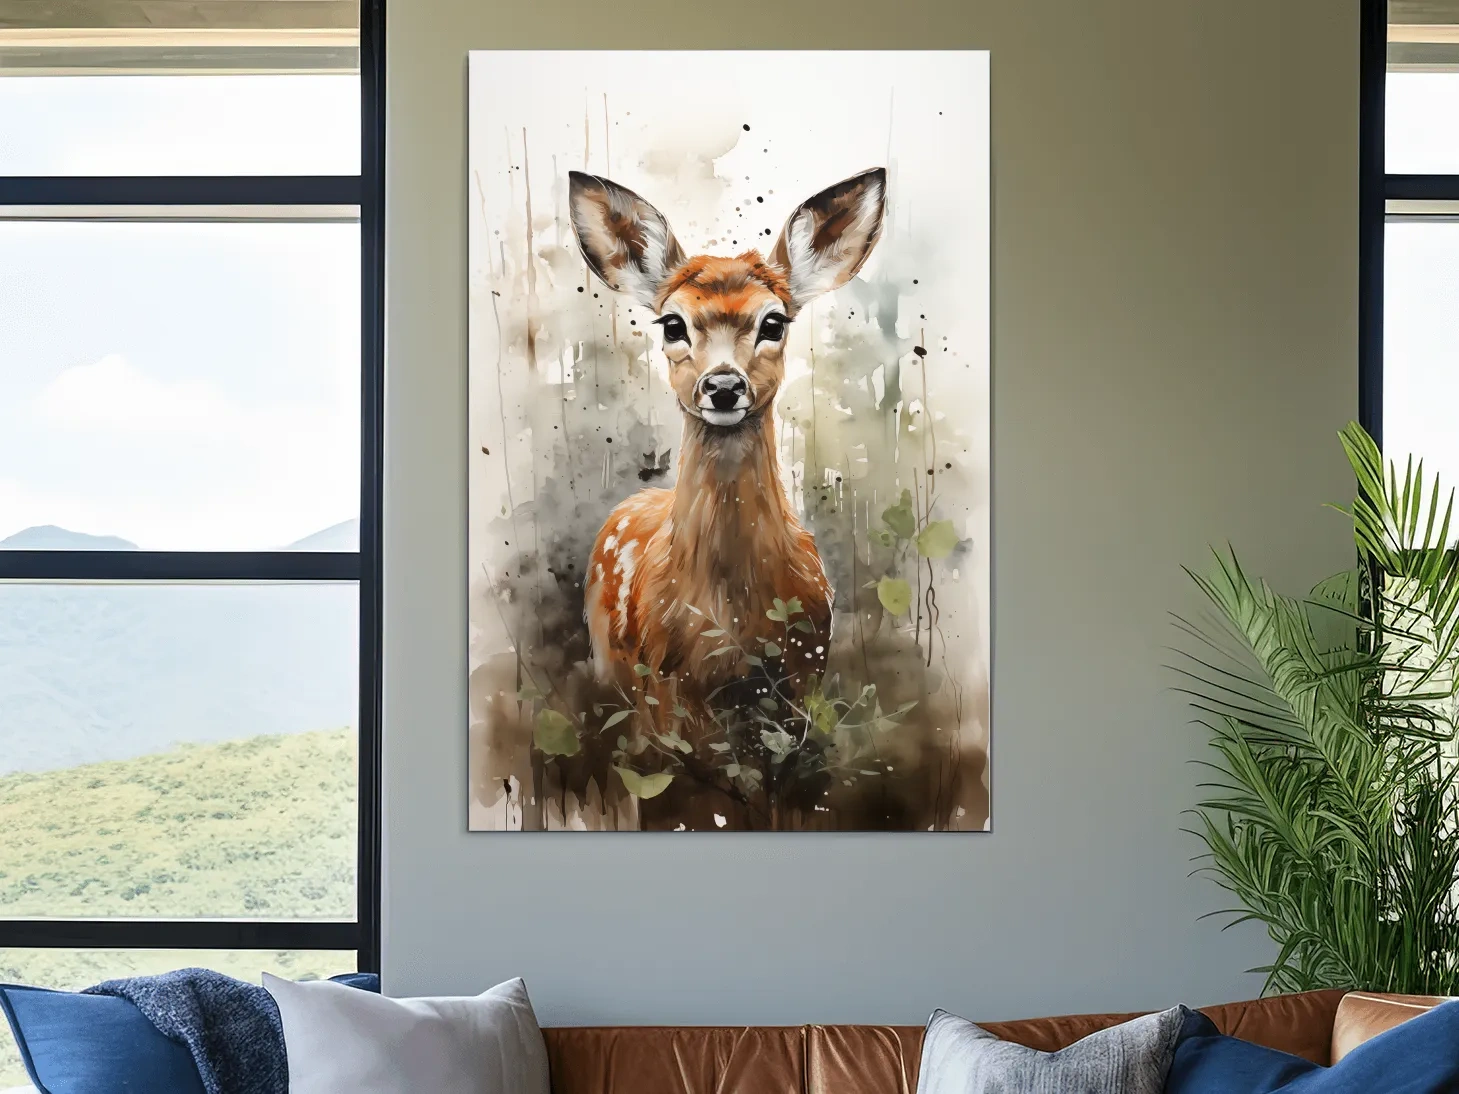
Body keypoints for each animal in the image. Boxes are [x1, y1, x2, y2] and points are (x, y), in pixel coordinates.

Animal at [569, 166, 887, 731]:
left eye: (774, 322)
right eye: (672, 324)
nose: (722, 386)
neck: (732, 619)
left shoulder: (806, 670)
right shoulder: (664, 686)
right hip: (609, 659)